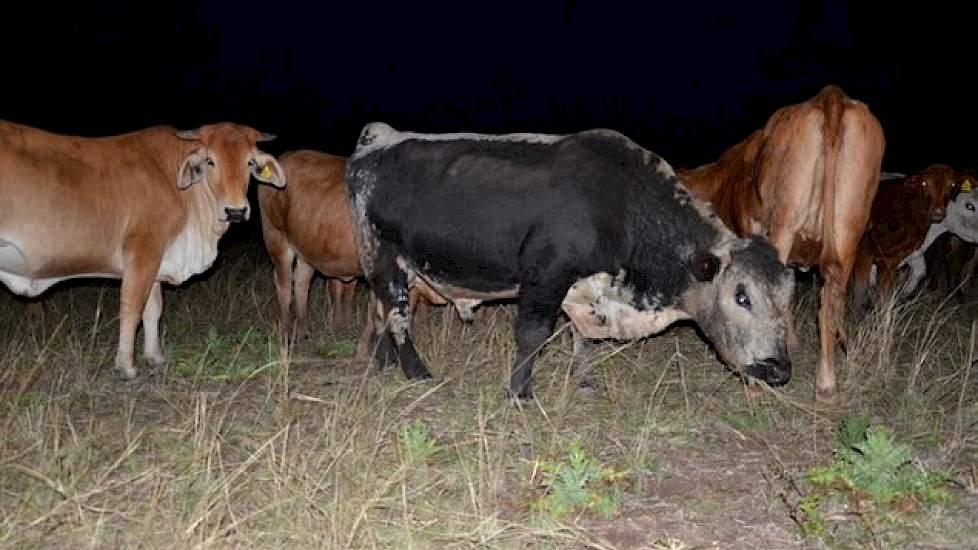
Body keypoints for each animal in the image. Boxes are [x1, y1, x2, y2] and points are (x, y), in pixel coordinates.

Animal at [1, 119, 286, 380]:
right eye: (210, 161)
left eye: (250, 162)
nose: (235, 211)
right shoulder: (142, 253)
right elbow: (132, 309)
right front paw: (126, 365)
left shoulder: (158, 260)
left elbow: (153, 310)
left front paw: (154, 356)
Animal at [344, 123, 792, 398]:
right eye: (741, 296)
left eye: (787, 297)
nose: (779, 368)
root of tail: (379, 138)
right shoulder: (547, 274)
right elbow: (533, 334)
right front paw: (520, 392)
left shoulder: (586, 290)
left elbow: (584, 338)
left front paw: (582, 379)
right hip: (382, 257)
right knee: (397, 316)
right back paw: (416, 371)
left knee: (381, 314)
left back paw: (384, 365)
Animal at [680, 85, 884, 406]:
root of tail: (830, 96)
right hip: (847, 230)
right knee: (829, 306)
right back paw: (826, 386)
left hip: (784, 224)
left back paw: (757, 383)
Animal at [848, 164, 960, 310]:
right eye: (924, 183)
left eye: (951, 184)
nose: (938, 211)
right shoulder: (865, 252)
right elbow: (860, 291)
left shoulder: (891, 260)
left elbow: (884, 295)